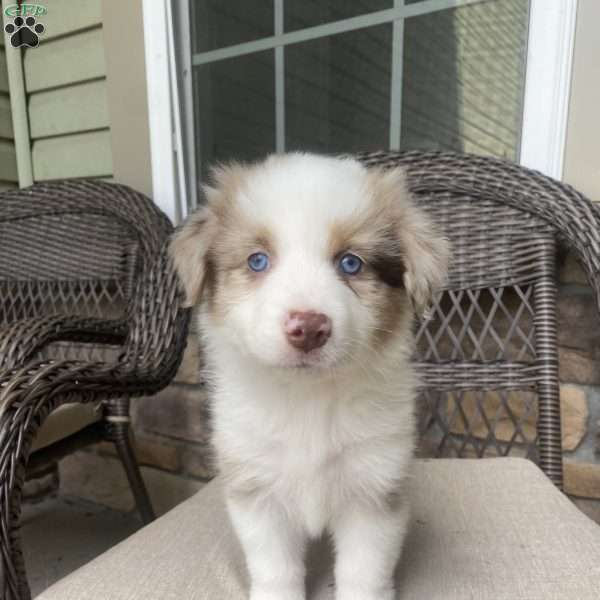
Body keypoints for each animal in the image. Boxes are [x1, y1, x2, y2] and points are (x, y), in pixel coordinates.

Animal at [171, 154, 448, 600]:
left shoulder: (374, 492)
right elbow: (276, 571)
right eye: (257, 260)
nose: (309, 328)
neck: (308, 396)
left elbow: (364, 574)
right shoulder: (257, 493)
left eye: (350, 263)